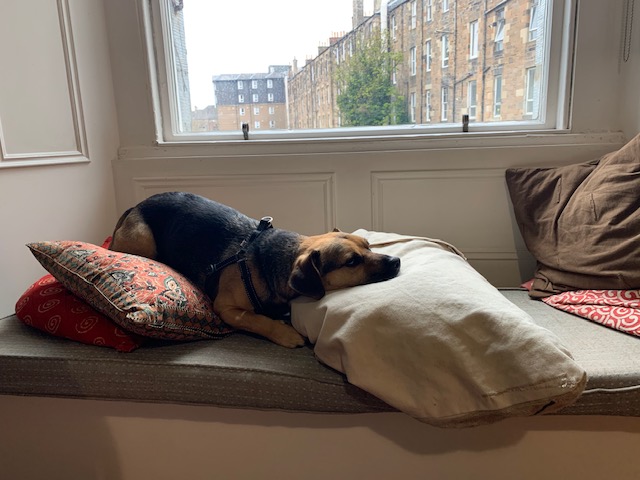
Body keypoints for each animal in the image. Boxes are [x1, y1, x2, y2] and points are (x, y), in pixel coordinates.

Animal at [110, 193, 400, 346]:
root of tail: (136, 205)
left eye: (368, 245)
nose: (396, 261)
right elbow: (256, 319)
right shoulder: (226, 308)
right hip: (144, 241)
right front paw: (284, 332)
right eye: (352, 261)